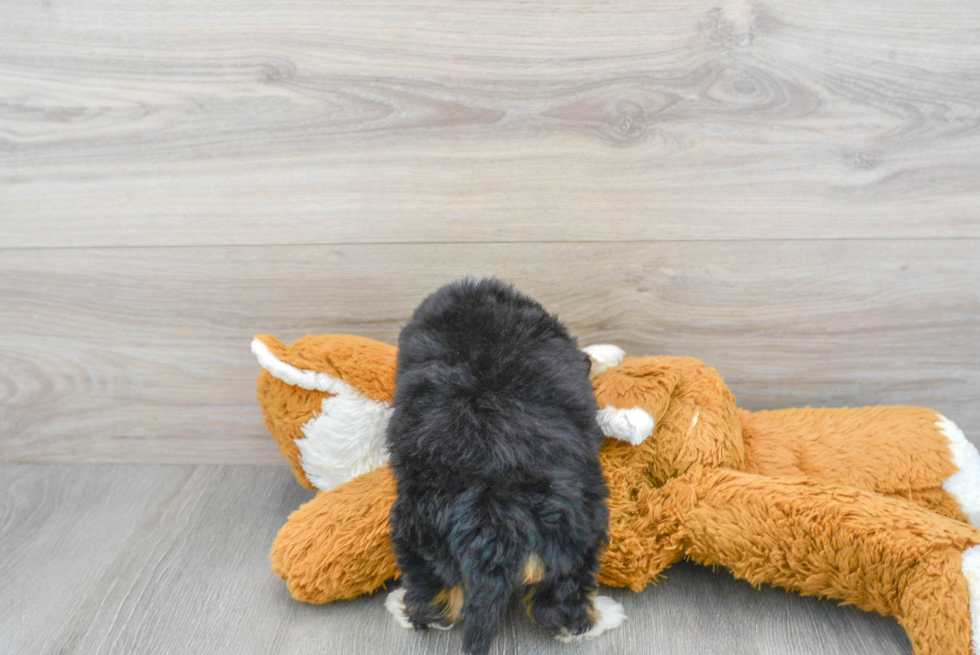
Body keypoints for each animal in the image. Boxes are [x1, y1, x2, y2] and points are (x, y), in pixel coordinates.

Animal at [384, 278, 624, 655]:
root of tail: (491, 521)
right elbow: (587, 357)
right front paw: (609, 352)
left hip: (418, 531)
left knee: (434, 598)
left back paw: (402, 605)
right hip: (575, 533)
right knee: (557, 604)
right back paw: (603, 616)